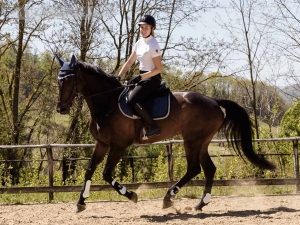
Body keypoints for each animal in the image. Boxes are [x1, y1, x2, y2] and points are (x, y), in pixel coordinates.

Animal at [55, 54, 276, 213]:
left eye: (70, 80)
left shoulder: (119, 146)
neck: (107, 103)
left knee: (194, 169)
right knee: (209, 169)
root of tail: (214, 101)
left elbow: (106, 173)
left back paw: (168, 198)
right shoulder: (101, 144)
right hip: (202, 142)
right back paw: (200, 204)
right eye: (58, 81)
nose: (61, 109)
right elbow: (89, 170)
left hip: (191, 141)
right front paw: (81, 202)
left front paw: (132, 195)